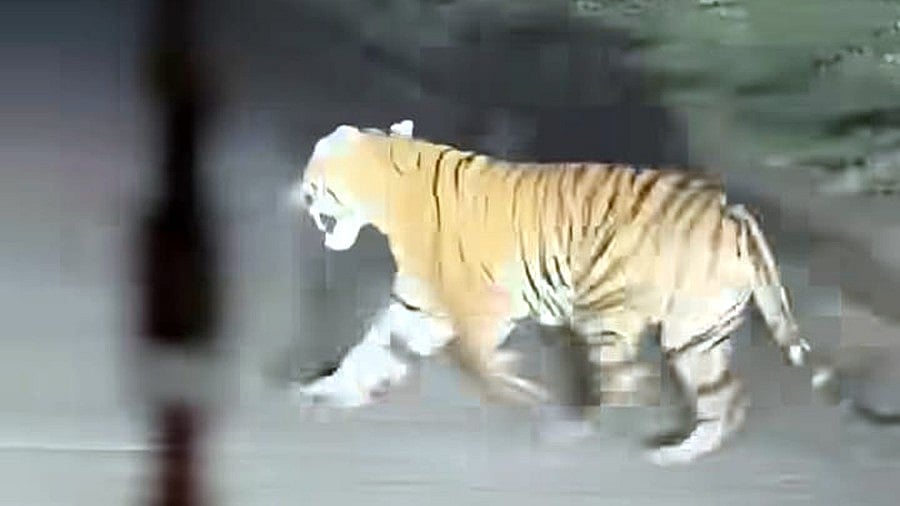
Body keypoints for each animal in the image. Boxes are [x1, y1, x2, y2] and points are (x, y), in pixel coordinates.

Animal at [288, 119, 834, 466]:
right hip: (695, 334)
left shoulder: (481, 306)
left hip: (608, 311)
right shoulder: (418, 305)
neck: (390, 195)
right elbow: (372, 348)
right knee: (725, 398)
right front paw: (328, 389)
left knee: (627, 380)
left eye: (315, 175)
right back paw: (676, 452)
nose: (302, 193)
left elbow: (476, 359)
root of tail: (732, 211)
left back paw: (580, 425)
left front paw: (520, 387)